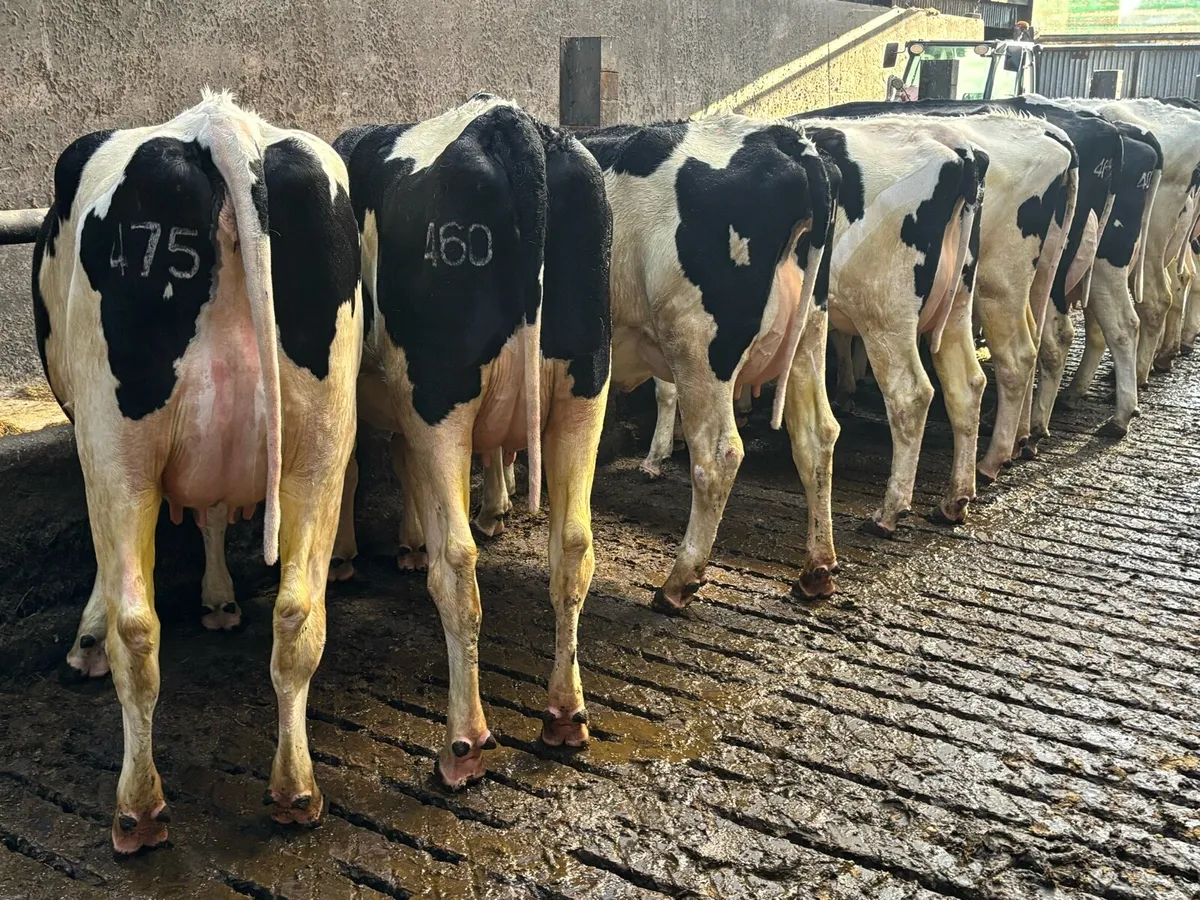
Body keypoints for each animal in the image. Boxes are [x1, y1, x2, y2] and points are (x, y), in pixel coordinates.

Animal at [32, 90, 362, 853]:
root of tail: (219, 124)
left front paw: (86, 638)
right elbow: (212, 511)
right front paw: (218, 599)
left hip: (116, 441)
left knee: (137, 626)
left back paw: (138, 809)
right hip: (322, 441)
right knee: (299, 612)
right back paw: (296, 791)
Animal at [329, 95, 612, 790]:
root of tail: (508, 122)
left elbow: (354, 468)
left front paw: (352, 553)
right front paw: (407, 539)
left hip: (441, 397)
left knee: (457, 566)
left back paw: (464, 743)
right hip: (584, 389)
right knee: (572, 548)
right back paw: (565, 715)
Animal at [577, 116, 837, 610]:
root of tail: (782, 138)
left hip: (696, 342)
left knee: (718, 455)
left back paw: (679, 581)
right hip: (808, 336)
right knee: (818, 437)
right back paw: (817, 570)